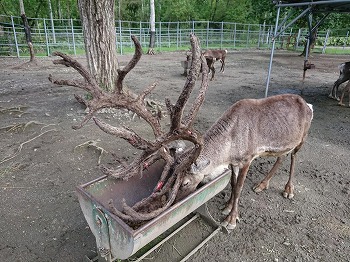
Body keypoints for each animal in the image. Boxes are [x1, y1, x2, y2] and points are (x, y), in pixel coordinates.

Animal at [179, 93, 314, 229]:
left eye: (185, 183)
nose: (177, 201)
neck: (228, 149)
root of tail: (308, 105)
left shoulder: (247, 159)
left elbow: (239, 187)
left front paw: (231, 219)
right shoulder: (234, 162)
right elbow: (233, 183)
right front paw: (227, 206)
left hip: (302, 138)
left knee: (293, 157)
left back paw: (288, 189)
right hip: (284, 144)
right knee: (281, 157)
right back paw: (262, 184)